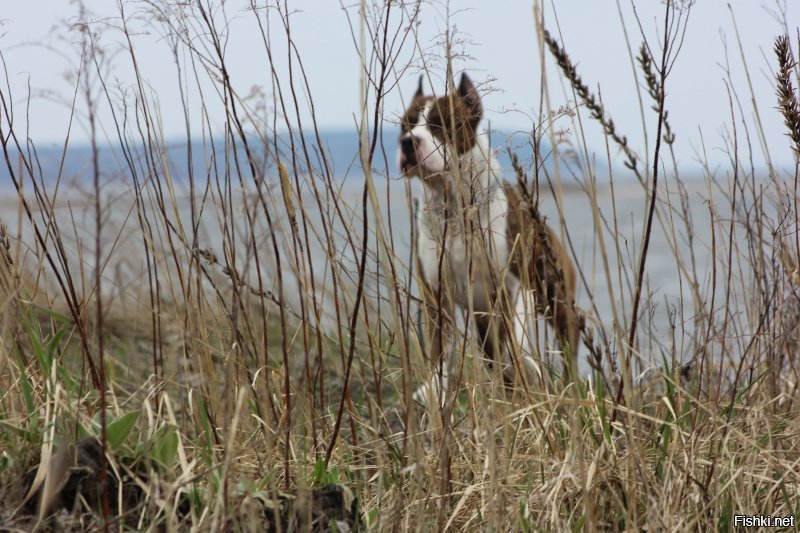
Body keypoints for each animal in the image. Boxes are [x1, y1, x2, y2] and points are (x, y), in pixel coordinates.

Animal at [400, 71, 580, 394]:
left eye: (441, 123)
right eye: (404, 125)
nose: (408, 142)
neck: (455, 208)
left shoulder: (511, 285)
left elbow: (515, 336)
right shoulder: (436, 294)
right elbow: (438, 347)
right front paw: (434, 388)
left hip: (556, 300)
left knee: (567, 337)